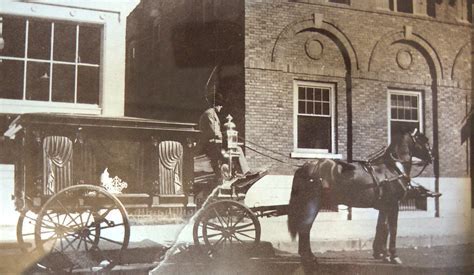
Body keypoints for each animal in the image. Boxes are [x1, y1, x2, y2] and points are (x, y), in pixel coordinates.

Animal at [286, 130, 436, 272]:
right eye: (425, 141)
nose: (432, 157)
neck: (393, 168)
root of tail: (307, 166)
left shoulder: (385, 206)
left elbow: (382, 227)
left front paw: (381, 254)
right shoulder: (393, 205)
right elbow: (393, 229)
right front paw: (394, 256)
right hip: (312, 204)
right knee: (305, 228)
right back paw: (309, 259)